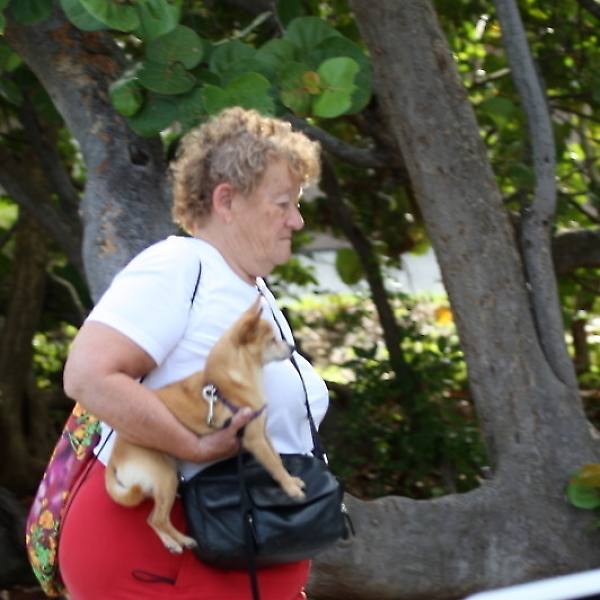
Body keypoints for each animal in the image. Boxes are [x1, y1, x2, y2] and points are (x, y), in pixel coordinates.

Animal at [105, 297, 306, 553]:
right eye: (272, 340)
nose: (292, 348)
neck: (237, 379)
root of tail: (114, 459)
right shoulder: (254, 438)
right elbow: (273, 465)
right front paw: (290, 488)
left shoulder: (263, 432)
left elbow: (277, 458)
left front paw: (291, 479)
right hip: (166, 477)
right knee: (158, 519)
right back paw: (181, 540)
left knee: (152, 519)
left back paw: (172, 541)